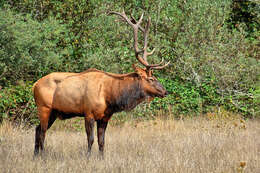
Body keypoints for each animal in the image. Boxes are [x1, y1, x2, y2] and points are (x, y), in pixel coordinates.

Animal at [32, 10, 170, 157]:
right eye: (151, 79)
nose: (165, 91)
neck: (111, 95)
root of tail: (34, 85)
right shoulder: (89, 113)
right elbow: (91, 139)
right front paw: (88, 157)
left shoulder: (105, 117)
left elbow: (102, 141)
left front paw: (101, 158)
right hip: (44, 107)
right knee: (42, 132)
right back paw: (43, 156)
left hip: (53, 112)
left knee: (37, 129)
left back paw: (35, 156)